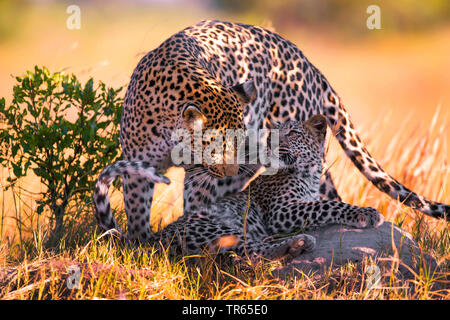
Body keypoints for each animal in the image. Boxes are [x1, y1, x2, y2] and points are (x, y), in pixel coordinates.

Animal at [94, 116, 384, 262]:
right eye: (272, 134)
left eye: (292, 133)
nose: (270, 145)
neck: (309, 173)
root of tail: (151, 240)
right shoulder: (279, 212)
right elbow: (327, 204)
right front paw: (367, 214)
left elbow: (322, 202)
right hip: (219, 228)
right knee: (251, 252)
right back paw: (298, 243)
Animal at [100, 18, 448, 241]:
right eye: (214, 147)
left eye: (238, 141)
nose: (234, 168)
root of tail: (311, 64)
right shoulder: (137, 166)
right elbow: (136, 210)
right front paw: (140, 244)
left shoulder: (203, 179)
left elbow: (198, 204)